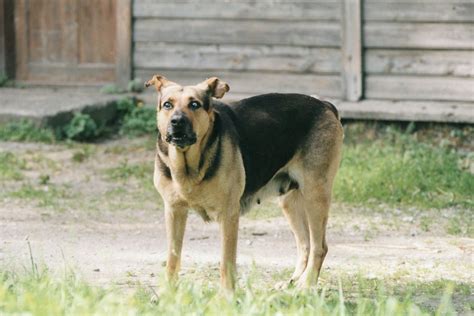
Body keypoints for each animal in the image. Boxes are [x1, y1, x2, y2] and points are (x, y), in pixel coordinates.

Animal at [146, 74, 342, 292]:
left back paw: (306, 286)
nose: (177, 121)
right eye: (167, 105)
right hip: (290, 201)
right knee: (305, 244)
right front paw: (167, 293)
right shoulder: (174, 211)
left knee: (319, 247)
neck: (188, 166)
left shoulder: (228, 215)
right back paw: (294, 282)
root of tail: (325, 105)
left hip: (315, 196)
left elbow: (226, 261)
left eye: (194, 104)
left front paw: (227, 295)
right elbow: (173, 258)